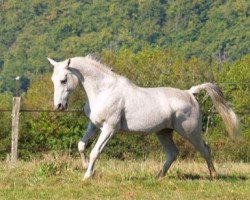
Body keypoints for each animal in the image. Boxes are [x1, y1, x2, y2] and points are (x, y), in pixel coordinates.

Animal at [47, 55, 238, 180]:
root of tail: (190, 93)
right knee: (172, 153)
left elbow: (95, 151)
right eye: (53, 80)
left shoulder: (110, 128)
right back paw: (159, 176)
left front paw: (87, 176)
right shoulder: (94, 125)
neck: (104, 91)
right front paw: (86, 167)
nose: (59, 106)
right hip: (164, 132)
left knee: (205, 149)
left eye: (63, 80)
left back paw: (214, 175)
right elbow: (81, 145)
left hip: (190, 132)